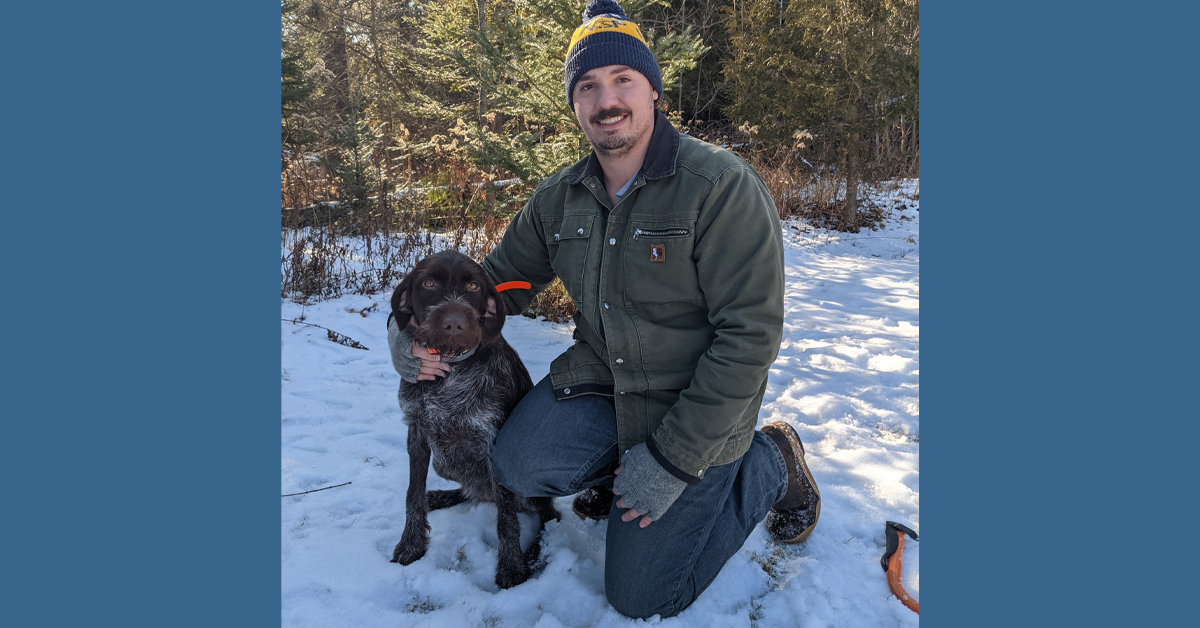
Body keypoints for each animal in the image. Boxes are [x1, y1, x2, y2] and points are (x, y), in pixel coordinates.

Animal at [384, 249, 556, 590]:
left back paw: (532, 554)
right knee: (473, 491)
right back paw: (438, 497)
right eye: (428, 282)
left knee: (545, 514)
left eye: (474, 286)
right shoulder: (417, 432)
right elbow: (412, 494)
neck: (450, 369)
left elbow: (506, 520)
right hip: (445, 462)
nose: (454, 323)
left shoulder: (493, 444)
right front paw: (410, 544)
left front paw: (512, 569)